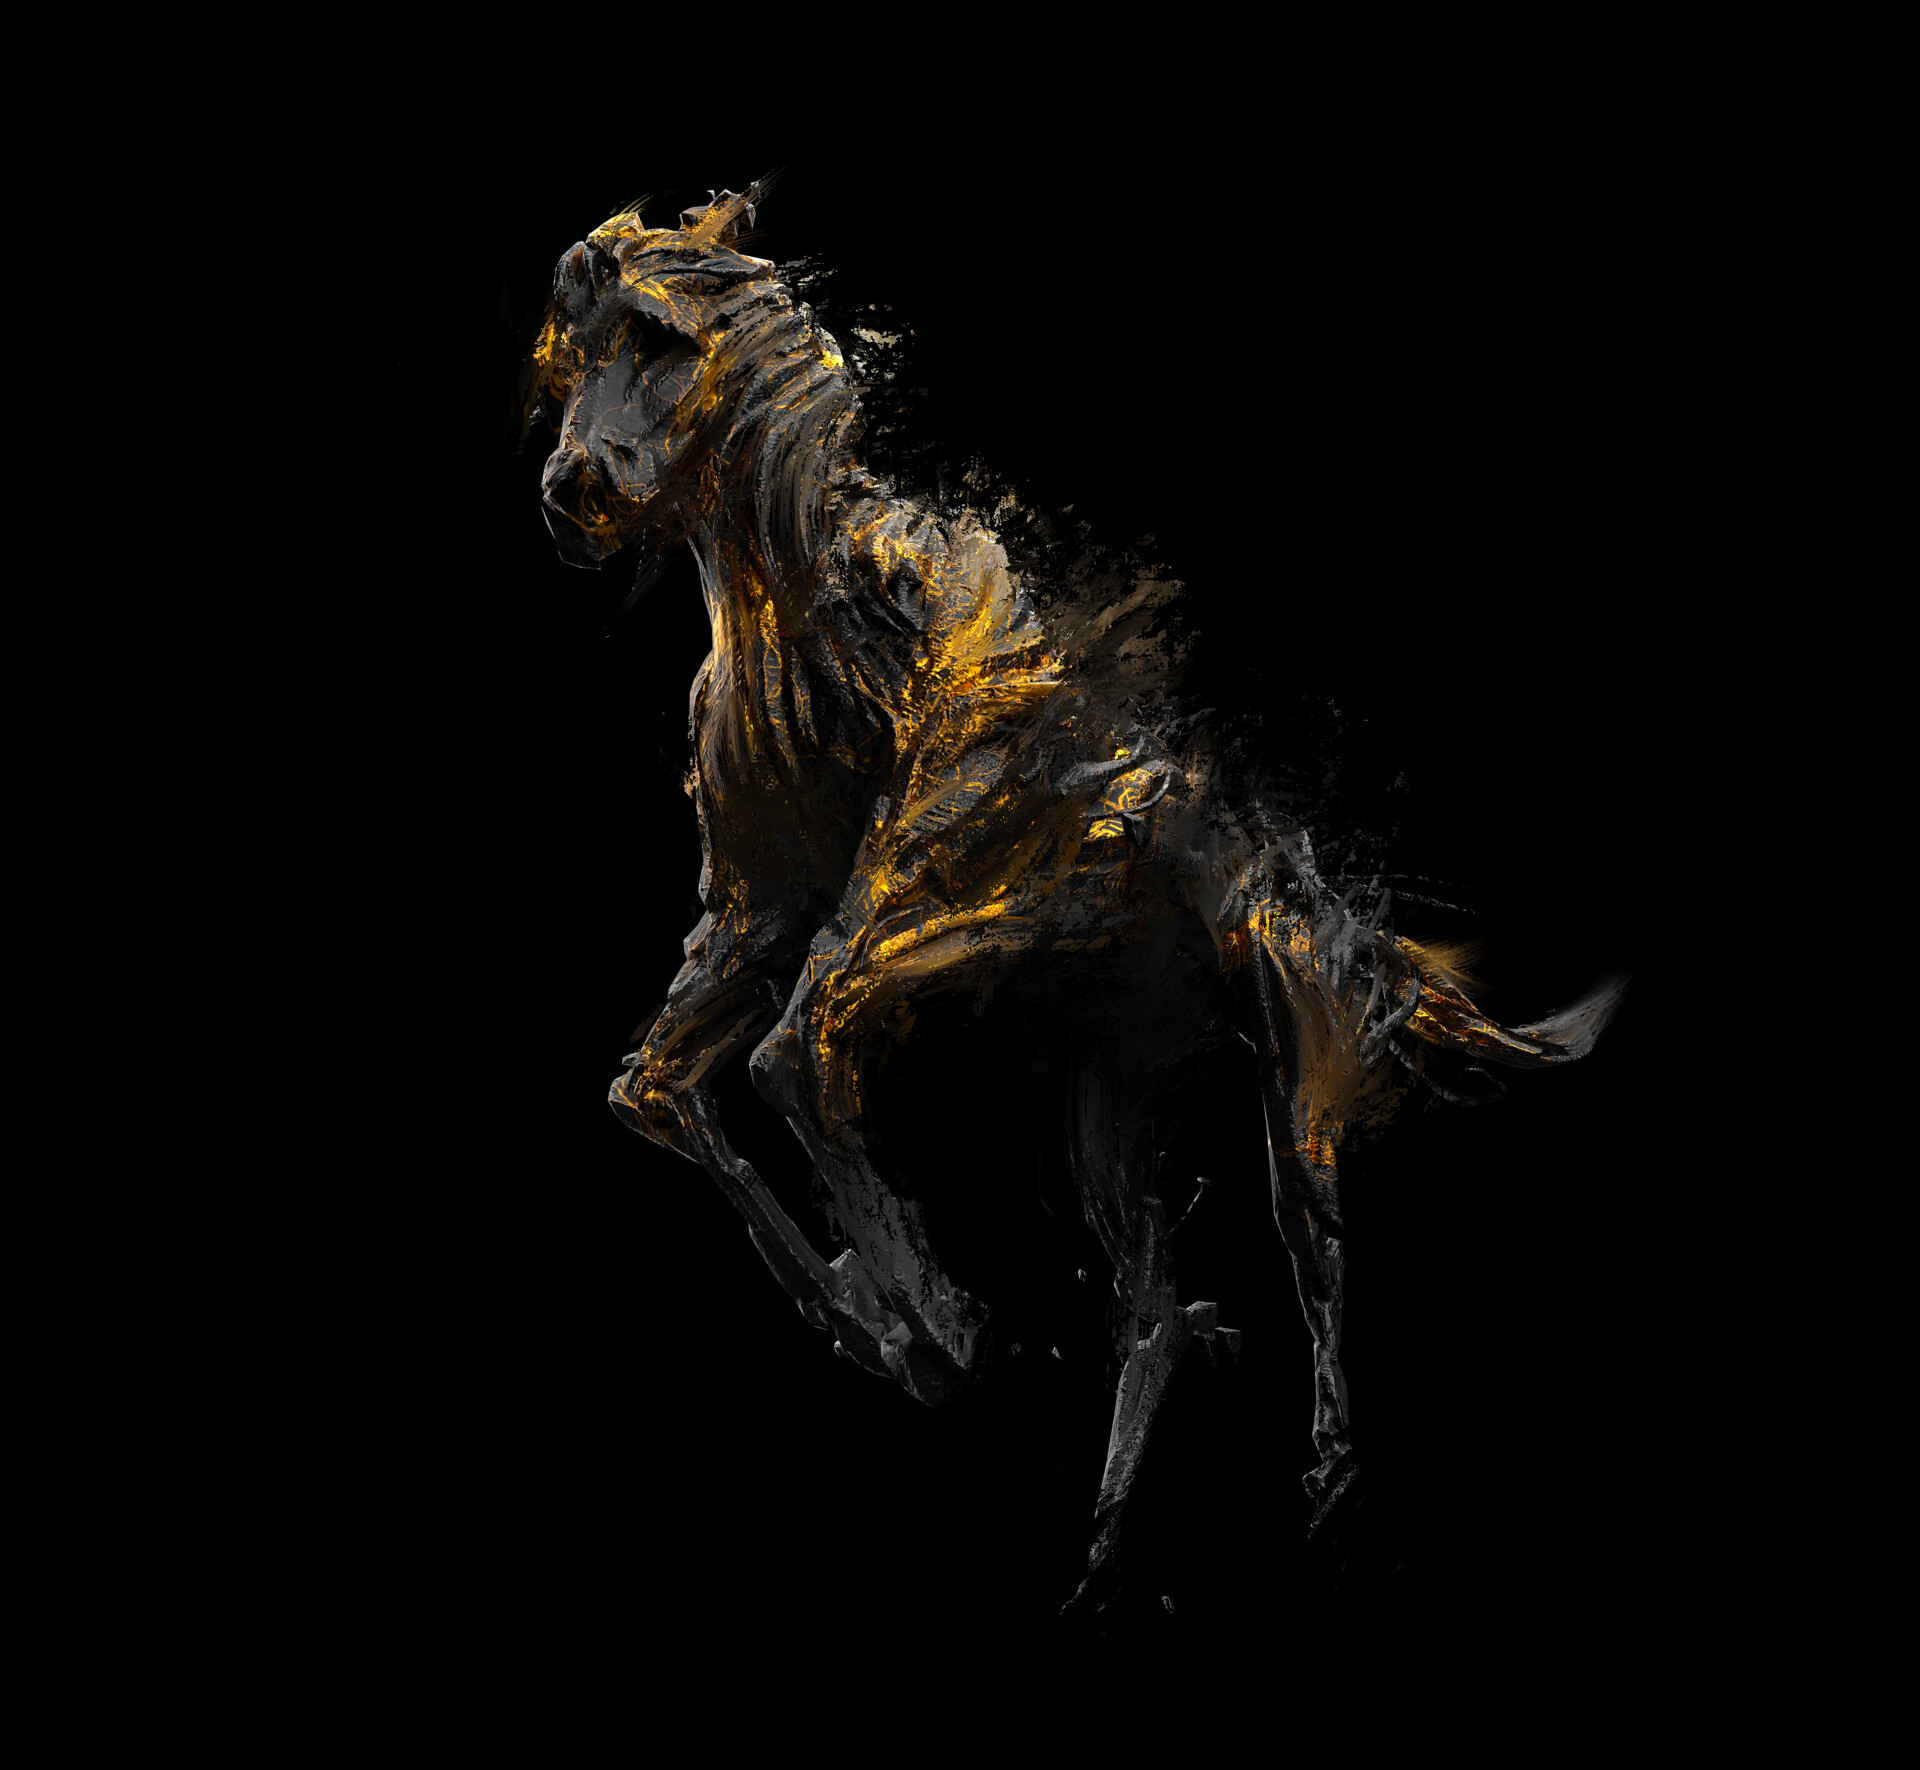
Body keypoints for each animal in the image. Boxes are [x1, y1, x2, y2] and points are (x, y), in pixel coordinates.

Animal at [524, 177, 1626, 1619]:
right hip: (1111, 1111)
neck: (799, 598)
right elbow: (653, 1086)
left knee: (1317, 1251)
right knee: (1152, 1305)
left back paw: (1328, 1495)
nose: (571, 491)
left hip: (1296, 1086)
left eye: (658, 338)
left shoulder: (963, 904)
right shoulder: (755, 917)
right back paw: (1101, 1562)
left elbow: (788, 1051)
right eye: (568, 359)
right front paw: (883, 1322)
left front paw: (928, 1321)